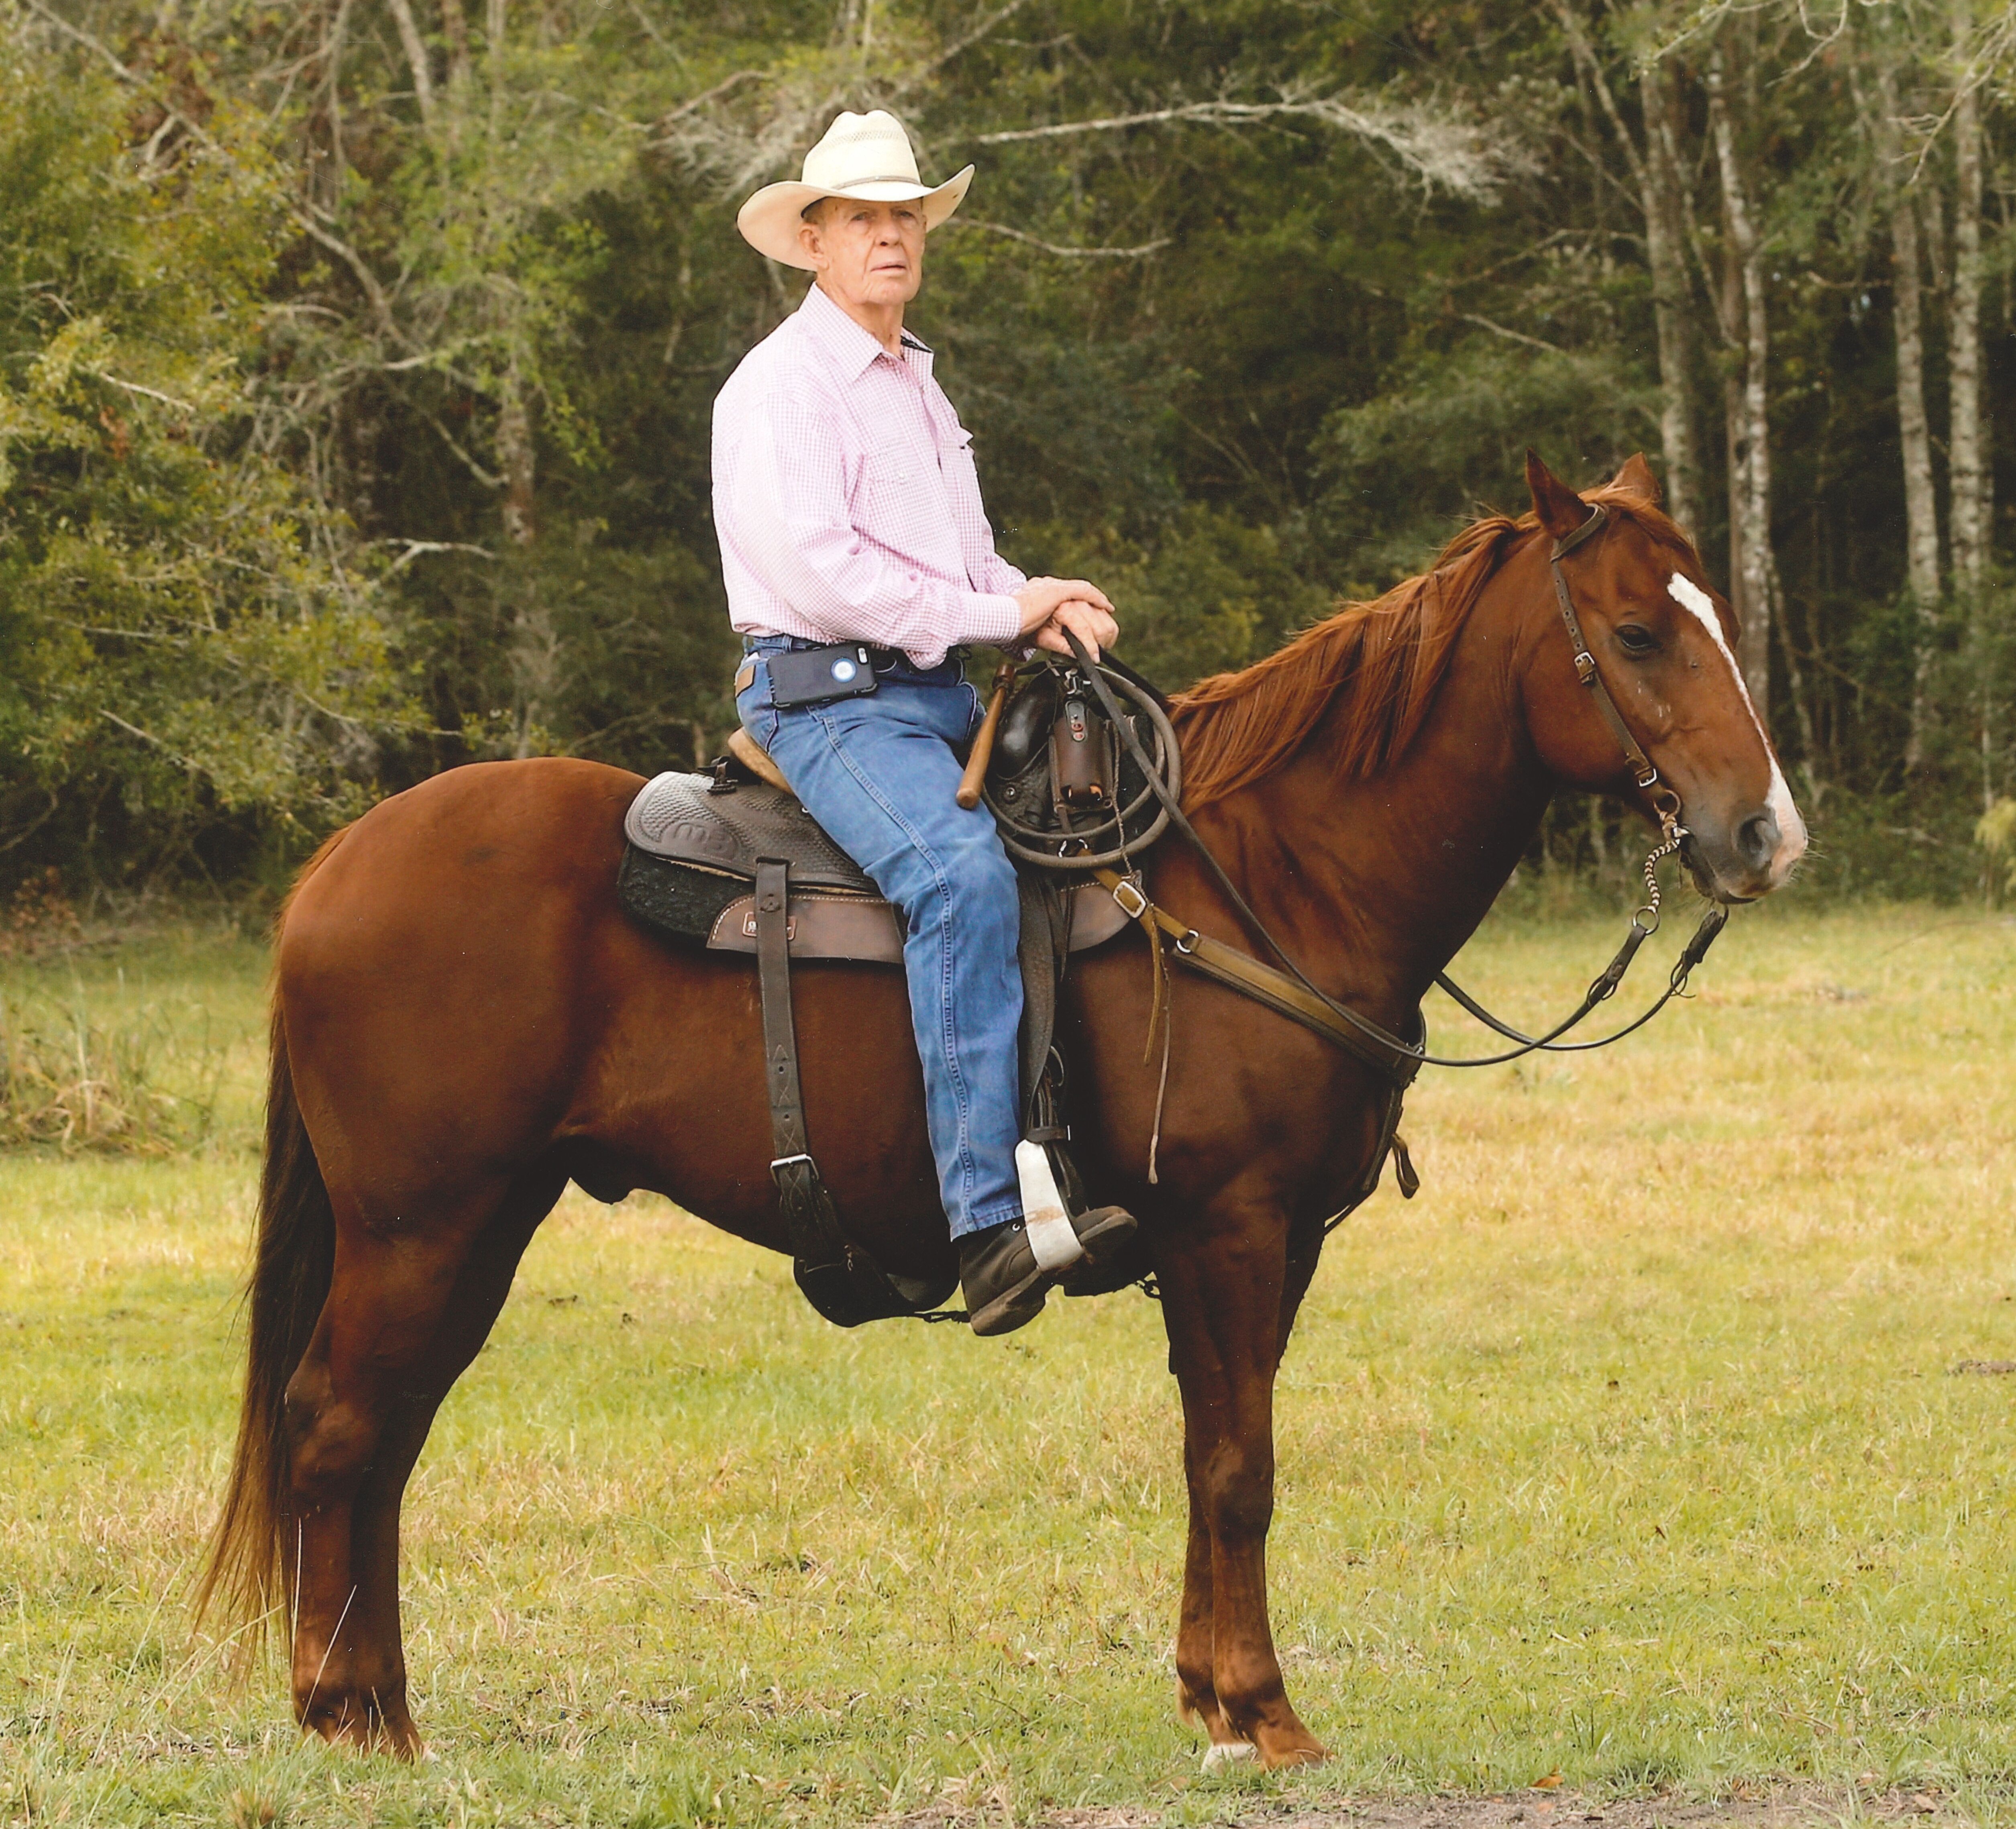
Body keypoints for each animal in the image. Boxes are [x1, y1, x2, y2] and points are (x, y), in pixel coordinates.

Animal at [197, 451, 1806, 1765]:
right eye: (1636, 631)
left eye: (1712, 614)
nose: (1761, 834)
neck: (1278, 878)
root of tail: (332, 872)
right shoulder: (1230, 1226)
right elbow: (1239, 1466)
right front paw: (1264, 1713)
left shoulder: (1262, 1246)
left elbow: (1209, 1451)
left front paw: (1209, 1695)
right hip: (421, 1226)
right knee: (336, 1427)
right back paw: (337, 1713)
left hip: (472, 1228)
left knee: (387, 1438)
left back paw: (387, 1711)